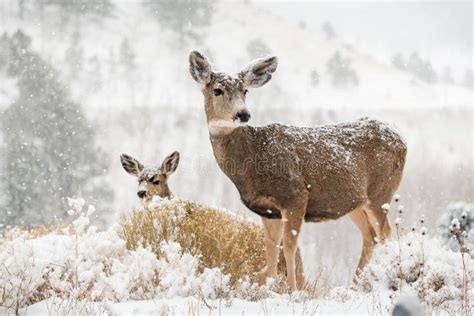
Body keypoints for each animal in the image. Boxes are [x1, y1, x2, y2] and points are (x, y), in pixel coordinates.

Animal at [189, 51, 408, 292]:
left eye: (245, 90)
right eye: (217, 90)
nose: (243, 114)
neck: (254, 159)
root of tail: (402, 141)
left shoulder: (295, 195)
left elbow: (289, 247)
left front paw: (292, 291)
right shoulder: (268, 210)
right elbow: (271, 250)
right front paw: (269, 288)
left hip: (381, 191)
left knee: (386, 232)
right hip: (354, 201)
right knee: (370, 235)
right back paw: (354, 285)